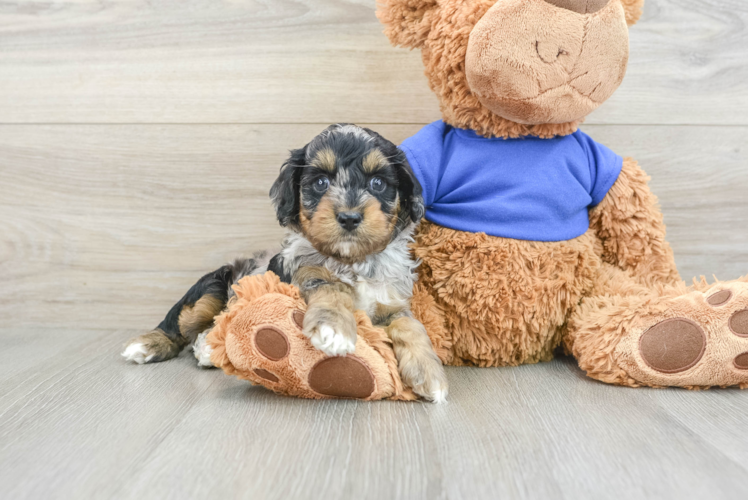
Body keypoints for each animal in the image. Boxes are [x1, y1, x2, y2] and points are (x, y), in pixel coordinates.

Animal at [122, 124, 448, 402]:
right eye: (320, 182)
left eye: (378, 183)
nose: (349, 217)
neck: (352, 260)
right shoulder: (306, 274)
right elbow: (332, 290)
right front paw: (335, 329)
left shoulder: (391, 303)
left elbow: (411, 325)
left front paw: (429, 373)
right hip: (210, 288)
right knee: (179, 321)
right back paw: (148, 345)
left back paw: (206, 348)